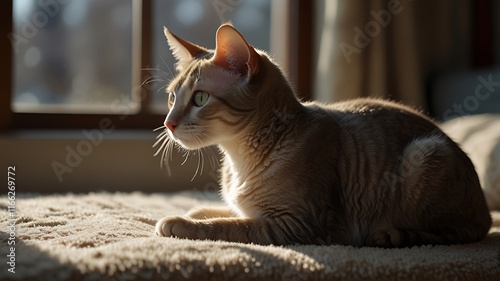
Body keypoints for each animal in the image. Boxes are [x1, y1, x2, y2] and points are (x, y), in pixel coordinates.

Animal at [154, 24, 490, 247]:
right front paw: (192, 211)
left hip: (424, 154)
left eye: (199, 99)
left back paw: (390, 235)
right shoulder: (255, 211)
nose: (168, 123)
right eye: (171, 98)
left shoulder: (298, 225)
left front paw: (178, 222)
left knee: (458, 232)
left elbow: (227, 226)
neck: (239, 160)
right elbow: (222, 211)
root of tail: (487, 211)